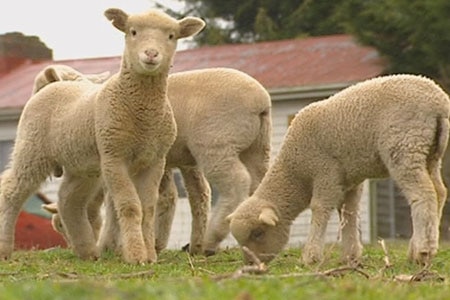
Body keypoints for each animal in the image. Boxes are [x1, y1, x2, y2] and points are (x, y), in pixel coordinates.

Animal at [0, 8, 204, 264]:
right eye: (132, 32)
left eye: (171, 36)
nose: (151, 54)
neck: (142, 113)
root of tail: (49, 86)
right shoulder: (114, 157)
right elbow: (130, 207)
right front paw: (136, 255)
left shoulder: (154, 161)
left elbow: (147, 208)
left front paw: (149, 255)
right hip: (32, 148)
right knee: (12, 191)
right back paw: (4, 249)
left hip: (82, 164)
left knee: (68, 199)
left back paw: (87, 251)